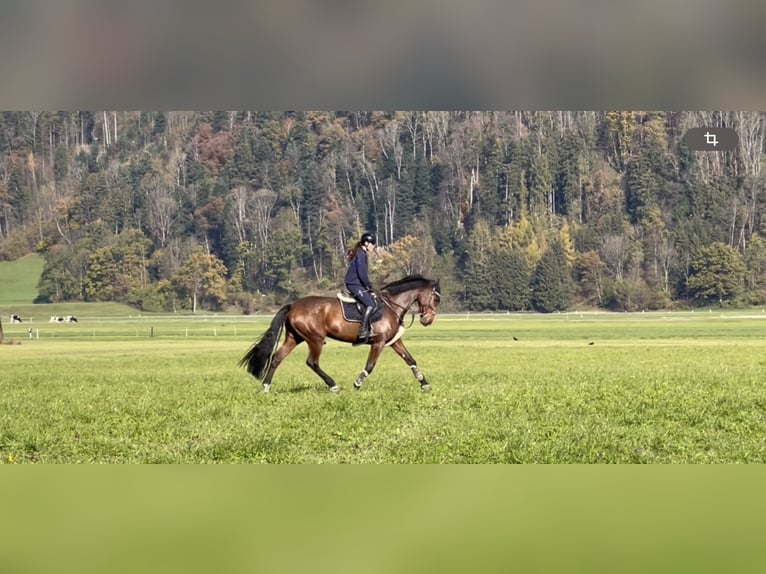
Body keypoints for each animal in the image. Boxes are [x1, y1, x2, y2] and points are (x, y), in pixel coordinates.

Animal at [240, 276, 444, 394]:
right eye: (435, 298)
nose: (427, 320)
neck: (391, 305)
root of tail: (293, 305)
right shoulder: (378, 343)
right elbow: (370, 366)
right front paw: (357, 384)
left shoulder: (393, 342)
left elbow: (410, 360)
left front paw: (424, 383)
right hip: (315, 339)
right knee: (312, 362)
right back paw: (333, 385)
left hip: (294, 338)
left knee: (277, 358)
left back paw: (266, 387)